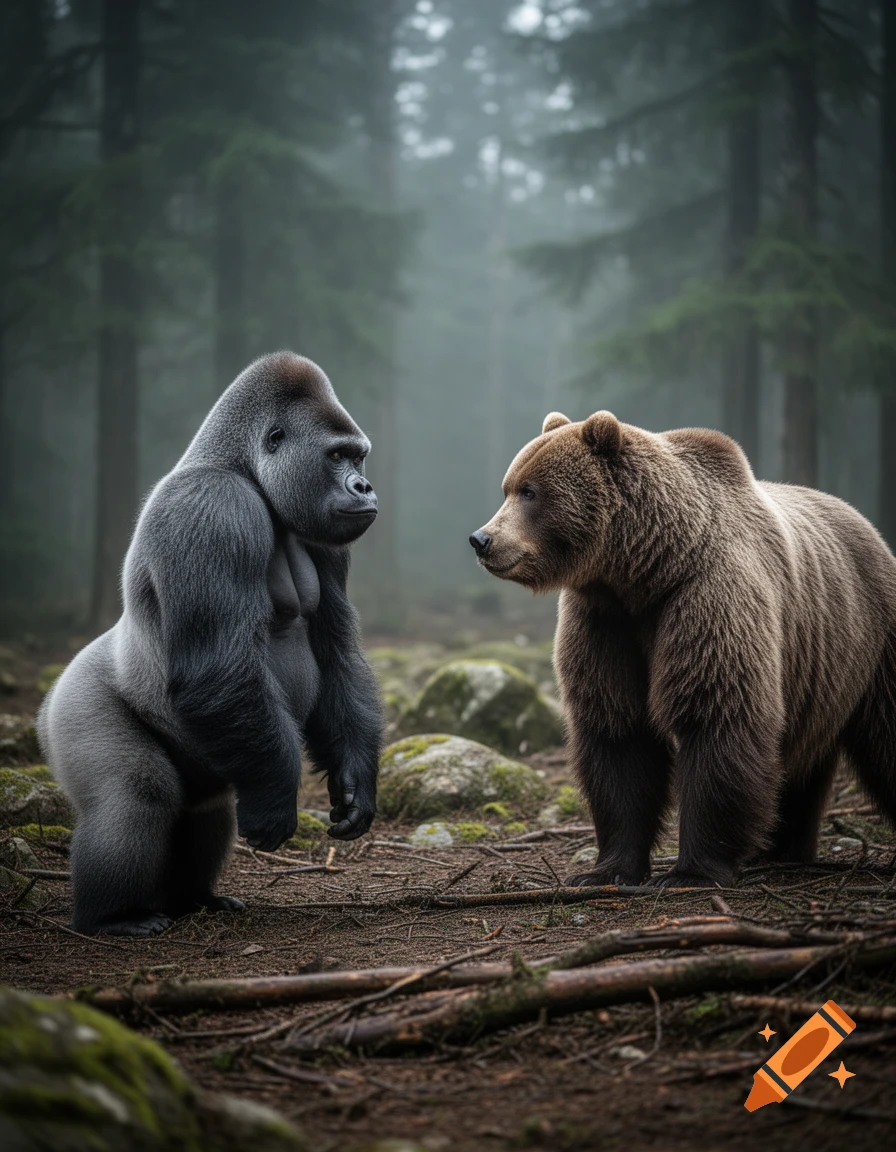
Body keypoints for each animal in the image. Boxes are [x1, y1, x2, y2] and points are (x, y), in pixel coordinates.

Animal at [38, 353, 382, 935]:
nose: (364, 486)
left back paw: (193, 898)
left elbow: (337, 653)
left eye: (357, 456)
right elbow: (218, 665)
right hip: (72, 706)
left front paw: (356, 778)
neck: (242, 468)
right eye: (337, 456)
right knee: (135, 794)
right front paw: (276, 803)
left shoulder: (325, 538)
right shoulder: (212, 510)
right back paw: (112, 916)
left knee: (204, 806)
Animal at [469, 410, 896, 888]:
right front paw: (607, 869)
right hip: (819, 672)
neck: (645, 570)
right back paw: (783, 849)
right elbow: (618, 732)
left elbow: (715, 715)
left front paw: (691, 871)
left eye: (530, 491)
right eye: (509, 487)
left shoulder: (706, 596)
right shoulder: (605, 622)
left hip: (871, 643)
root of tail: (870, 528)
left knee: (886, 736)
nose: (482, 539)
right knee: (804, 764)